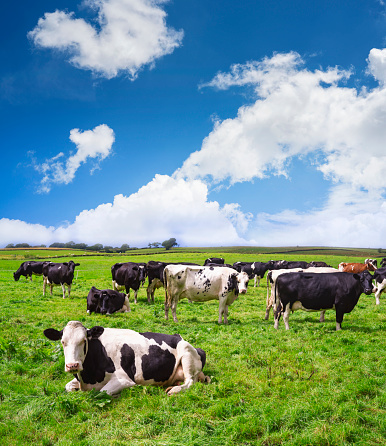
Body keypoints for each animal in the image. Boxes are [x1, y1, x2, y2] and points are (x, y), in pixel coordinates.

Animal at [43, 318, 210, 396]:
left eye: (84, 340)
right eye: (62, 342)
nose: (72, 366)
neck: (87, 378)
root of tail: (178, 337)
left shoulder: (124, 379)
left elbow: (102, 392)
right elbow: (68, 387)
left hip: (187, 354)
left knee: (190, 382)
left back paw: (174, 390)